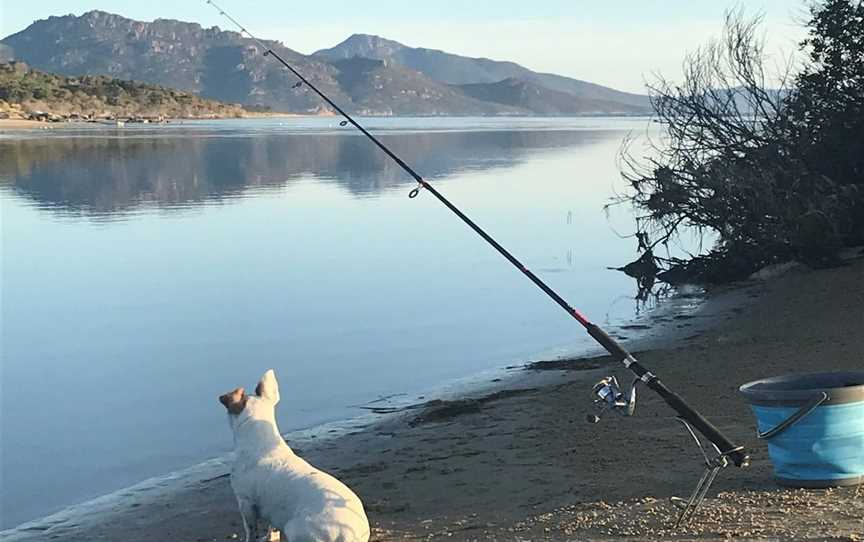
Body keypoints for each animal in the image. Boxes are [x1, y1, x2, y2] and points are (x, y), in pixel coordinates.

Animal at [218, 372, 370, 540]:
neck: (260, 440)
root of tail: (346, 534)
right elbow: (272, 529)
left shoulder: (245, 502)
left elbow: (250, 531)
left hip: (294, 528)